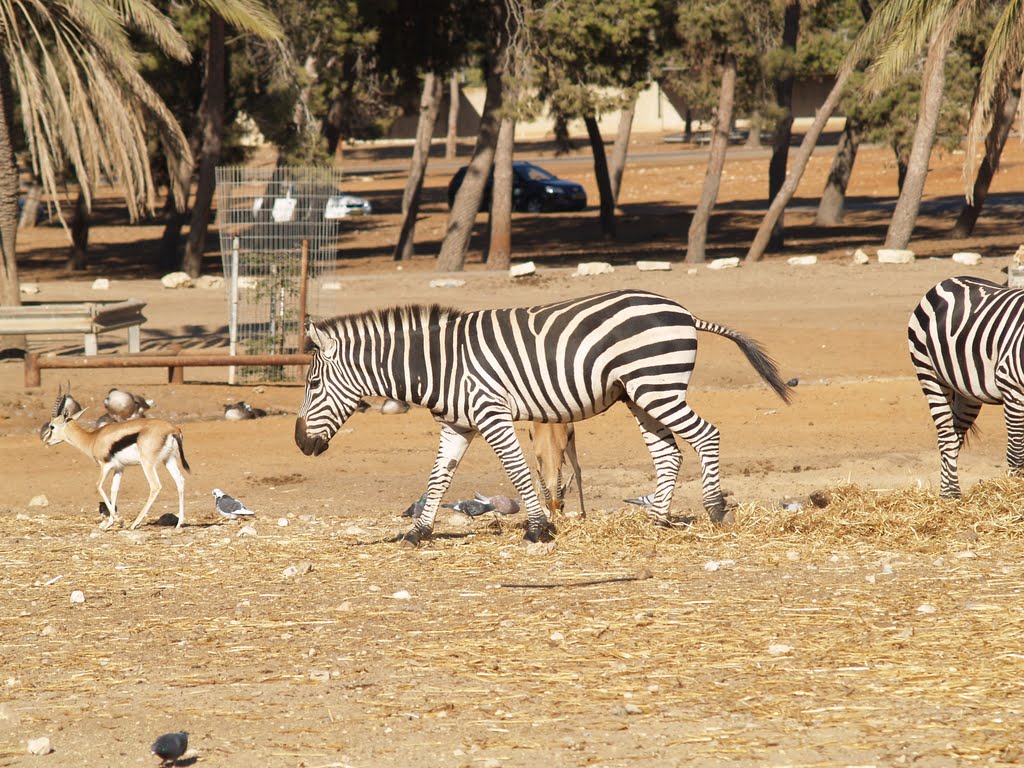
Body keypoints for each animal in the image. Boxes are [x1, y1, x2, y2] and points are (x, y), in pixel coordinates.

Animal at [40, 387, 190, 532]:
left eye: (52, 426)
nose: (46, 440)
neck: (93, 439)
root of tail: (173, 429)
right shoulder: (119, 468)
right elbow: (114, 490)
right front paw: (110, 523)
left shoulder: (105, 465)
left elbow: (98, 485)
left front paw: (120, 521)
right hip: (169, 460)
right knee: (180, 481)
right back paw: (179, 524)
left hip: (147, 464)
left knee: (155, 486)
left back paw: (134, 524)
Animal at [294, 288, 790, 548]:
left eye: (313, 384)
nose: (300, 444)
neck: (438, 365)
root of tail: (683, 311)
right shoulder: (458, 423)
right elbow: (437, 478)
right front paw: (417, 533)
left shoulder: (491, 413)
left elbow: (517, 471)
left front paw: (538, 528)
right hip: (638, 394)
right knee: (667, 454)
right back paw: (656, 521)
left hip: (656, 385)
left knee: (707, 434)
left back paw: (716, 511)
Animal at [909, 276, 1024, 499]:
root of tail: (950, 280)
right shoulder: (1012, 389)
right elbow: (1017, 454)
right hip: (929, 374)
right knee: (946, 438)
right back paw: (950, 494)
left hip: (967, 394)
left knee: (955, 437)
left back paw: (948, 491)